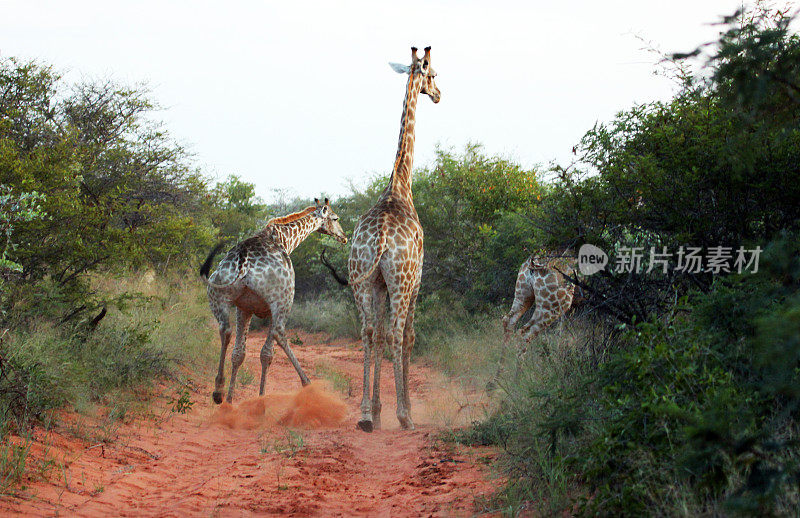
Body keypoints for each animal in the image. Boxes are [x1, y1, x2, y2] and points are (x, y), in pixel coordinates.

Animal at [198, 199, 346, 406]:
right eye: (335, 218)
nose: (344, 237)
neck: (285, 238)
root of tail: (243, 262)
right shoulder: (270, 307)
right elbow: (267, 351)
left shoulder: (245, 307)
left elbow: (239, 354)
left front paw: (229, 399)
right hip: (282, 301)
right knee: (276, 338)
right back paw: (301, 386)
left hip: (217, 296)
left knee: (225, 331)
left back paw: (219, 390)